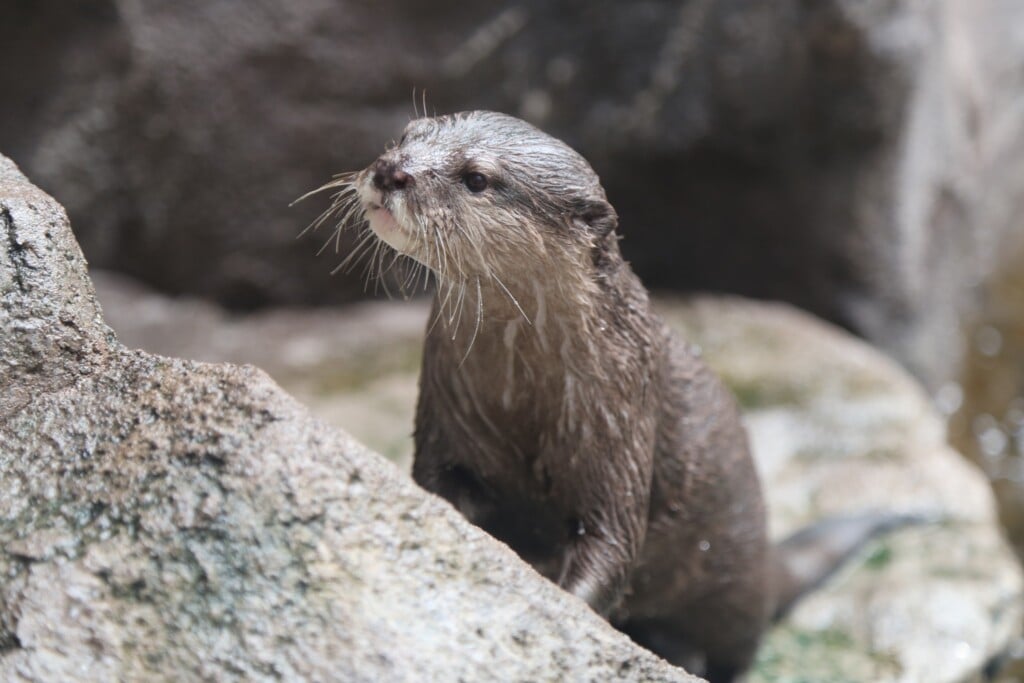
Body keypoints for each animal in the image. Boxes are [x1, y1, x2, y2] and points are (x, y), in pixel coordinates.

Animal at [308, 111, 911, 682]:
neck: (523, 397)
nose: (392, 171)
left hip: (733, 591)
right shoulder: (447, 417)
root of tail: (764, 554)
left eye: (477, 178)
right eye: (405, 135)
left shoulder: (620, 428)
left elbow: (612, 545)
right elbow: (439, 489)